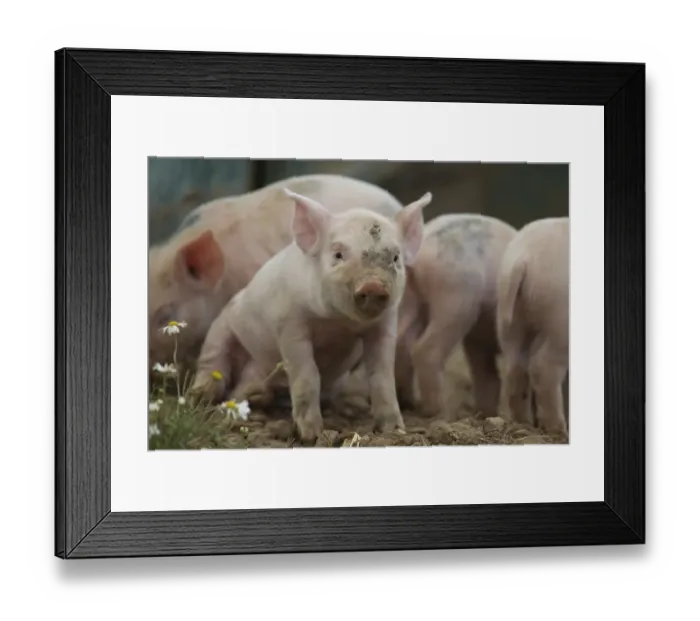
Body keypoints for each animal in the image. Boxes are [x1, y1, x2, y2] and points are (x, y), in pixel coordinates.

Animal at [191, 188, 433, 443]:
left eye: (395, 258)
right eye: (338, 254)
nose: (373, 284)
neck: (339, 322)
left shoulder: (385, 325)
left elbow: (382, 376)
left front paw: (394, 429)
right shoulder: (289, 324)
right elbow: (307, 375)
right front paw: (310, 435)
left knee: (245, 387)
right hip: (222, 327)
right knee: (213, 361)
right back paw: (201, 396)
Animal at [394, 213, 518, 420]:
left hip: (410, 298)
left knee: (400, 340)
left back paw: (408, 404)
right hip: (455, 299)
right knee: (425, 349)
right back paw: (442, 414)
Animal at [496, 216, 569, 436]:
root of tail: (523, 258)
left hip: (509, 316)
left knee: (514, 365)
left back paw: (523, 424)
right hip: (560, 320)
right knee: (543, 367)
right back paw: (559, 431)